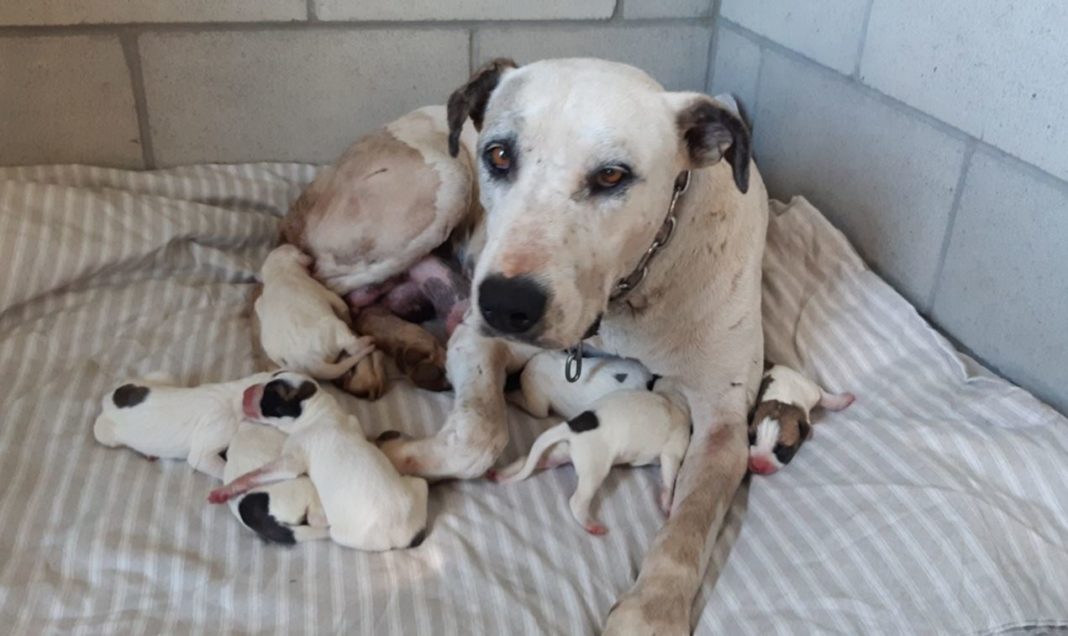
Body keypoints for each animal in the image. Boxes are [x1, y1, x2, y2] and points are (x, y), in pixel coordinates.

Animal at [92, 369, 271, 480]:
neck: (236, 392)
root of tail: (109, 398)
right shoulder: (217, 431)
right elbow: (217, 466)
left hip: (161, 376)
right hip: (102, 432)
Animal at [206, 373, 427, 550]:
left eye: (270, 394)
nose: (246, 392)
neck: (321, 411)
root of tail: (407, 538)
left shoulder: (292, 459)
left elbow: (258, 473)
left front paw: (225, 490)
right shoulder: (352, 422)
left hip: (340, 531)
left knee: (316, 520)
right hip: (417, 485)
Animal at [256, 244, 378, 379]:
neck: (278, 272)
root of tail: (308, 363)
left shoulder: (260, 300)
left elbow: (258, 303)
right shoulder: (324, 291)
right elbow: (342, 306)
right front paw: (350, 319)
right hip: (336, 327)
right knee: (352, 347)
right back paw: (368, 340)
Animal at [493, 377, 687, 535]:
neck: (671, 398)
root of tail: (572, 426)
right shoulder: (672, 452)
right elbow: (669, 478)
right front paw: (667, 504)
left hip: (561, 452)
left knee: (526, 460)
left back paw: (500, 474)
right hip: (594, 468)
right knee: (577, 501)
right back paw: (590, 525)